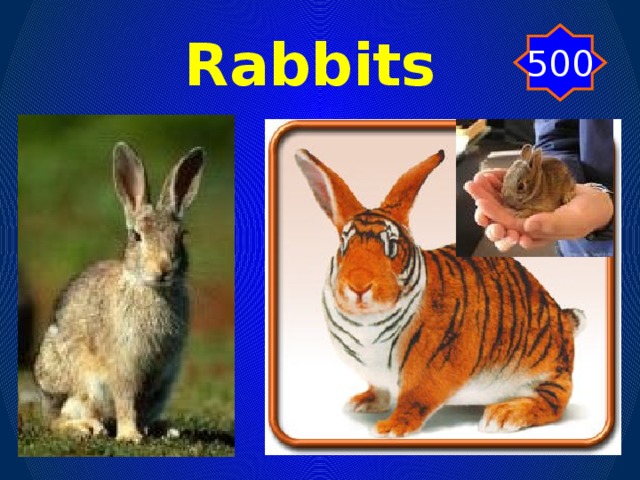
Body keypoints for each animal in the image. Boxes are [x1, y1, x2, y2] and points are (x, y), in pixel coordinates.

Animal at [33, 142, 204, 443]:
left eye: (182, 236)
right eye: (136, 236)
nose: (163, 269)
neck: (150, 288)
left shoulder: (158, 376)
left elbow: (139, 405)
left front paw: (142, 430)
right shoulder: (123, 366)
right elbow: (125, 400)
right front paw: (130, 436)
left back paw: (166, 429)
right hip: (74, 383)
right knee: (57, 420)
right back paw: (87, 427)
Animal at [295, 148, 583, 436]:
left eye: (392, 247)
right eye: (344, 246)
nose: (358, 286)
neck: (367, 324)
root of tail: (563, 317)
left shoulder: (435, 368)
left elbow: (416, 398)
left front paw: (391, 427)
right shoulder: (376, 376)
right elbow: (379, 388)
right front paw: (362, 402)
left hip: (545, 366)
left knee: (557, 398)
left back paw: (503, 415)